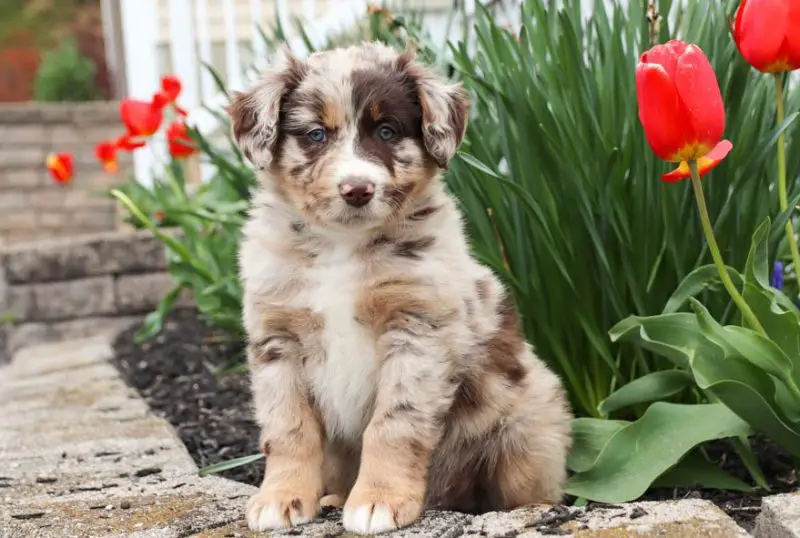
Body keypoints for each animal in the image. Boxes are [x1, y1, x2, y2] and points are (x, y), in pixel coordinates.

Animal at [228, 40, 572, 532]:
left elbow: (393, 424)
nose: (357, 189)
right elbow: (288, 429)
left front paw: (378, 501)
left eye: (387, 132)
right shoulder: (278, 339)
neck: (342, 246)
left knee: (525, 486)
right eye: (316, 134)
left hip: (529, 427)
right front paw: (281, 498)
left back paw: (537, 509)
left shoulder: (417, 331)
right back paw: (333, 495)